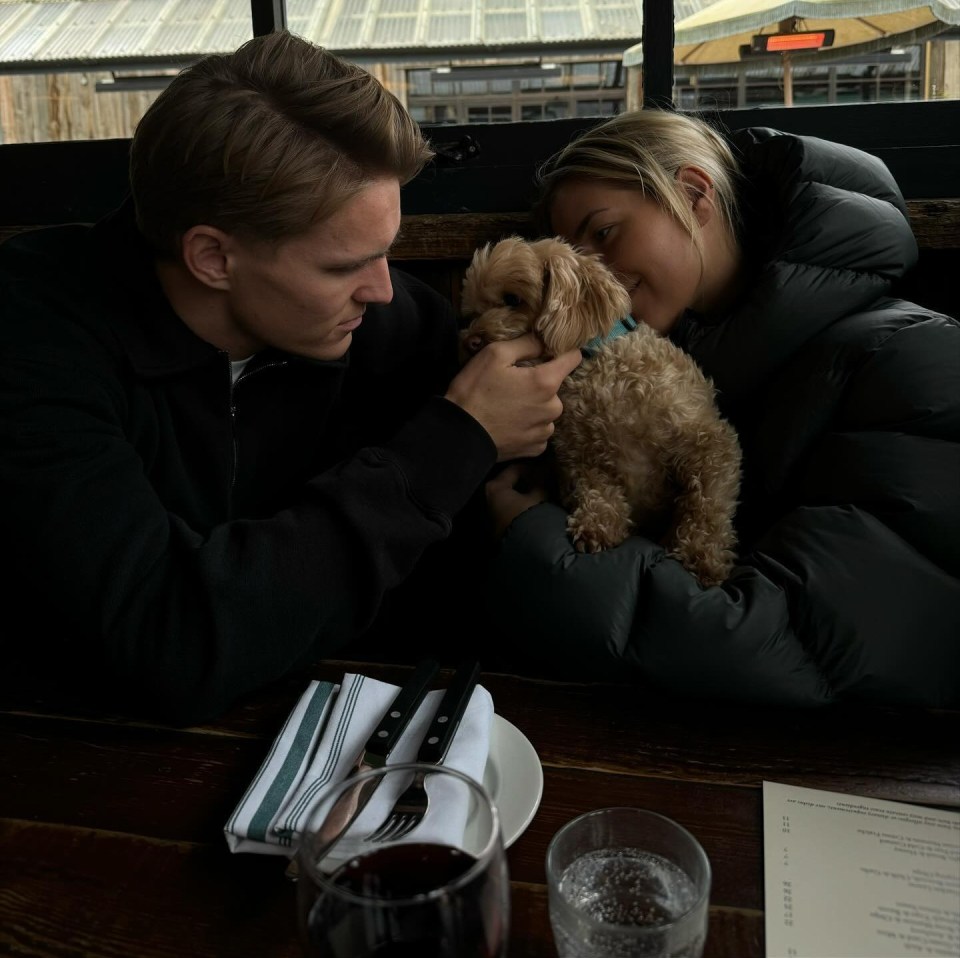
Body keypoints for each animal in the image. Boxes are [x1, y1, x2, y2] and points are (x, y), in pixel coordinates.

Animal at [464, 236, 744, 588]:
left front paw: (701, 556)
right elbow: (597, 488)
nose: (470, 343)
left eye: (512, 299)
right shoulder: (579, 457)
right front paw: (598, 525)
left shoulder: (711, 444)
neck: (595, 370)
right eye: (473, 311)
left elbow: (708, 504)